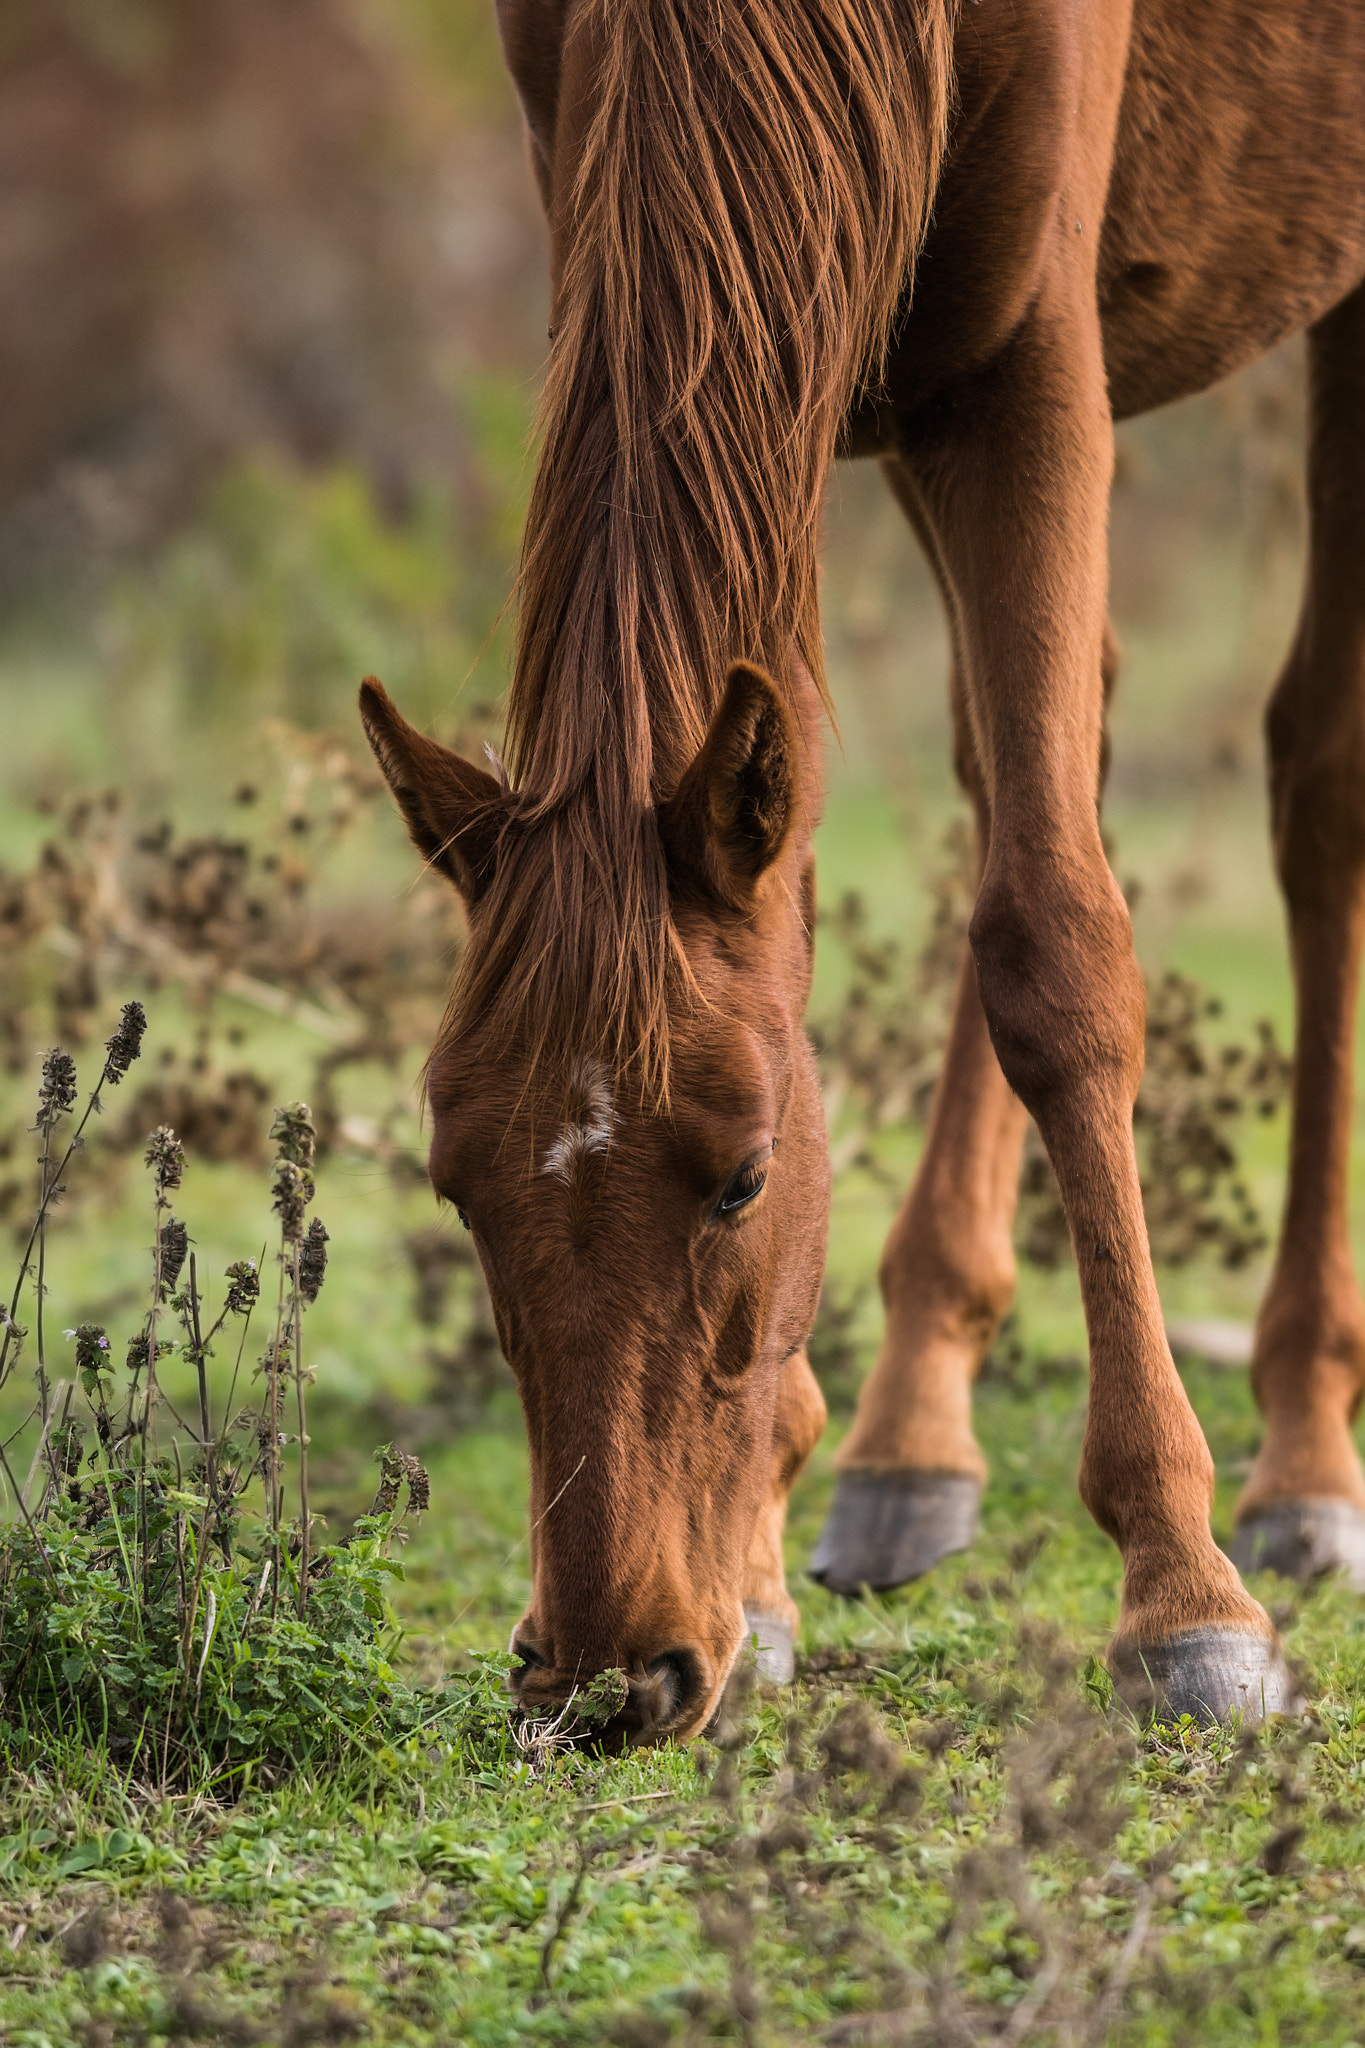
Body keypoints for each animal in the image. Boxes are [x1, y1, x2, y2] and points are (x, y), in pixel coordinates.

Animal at [360, 0, 1365, 1744]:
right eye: (451, 1184)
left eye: (745, 1176)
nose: (606, 1677)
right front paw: (760, 1570)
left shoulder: (1018, 366)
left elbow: (1055, 949)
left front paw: (1183, 1593)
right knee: (1047, 746)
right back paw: (913, 1434)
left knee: (1316, 775)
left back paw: (1304, 1455)